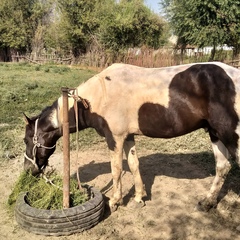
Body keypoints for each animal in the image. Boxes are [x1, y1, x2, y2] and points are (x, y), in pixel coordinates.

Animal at [23, 62, 240, 212]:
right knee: (223, 167)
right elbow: (134, 165)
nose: (29, 171)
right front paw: (138, 198)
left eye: (26, 140)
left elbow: (117, 169)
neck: (98, 96)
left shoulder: (115, 138)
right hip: (215, 133)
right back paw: (207, 203)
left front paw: (115, 201)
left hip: (230, 135)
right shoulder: (128, 137)